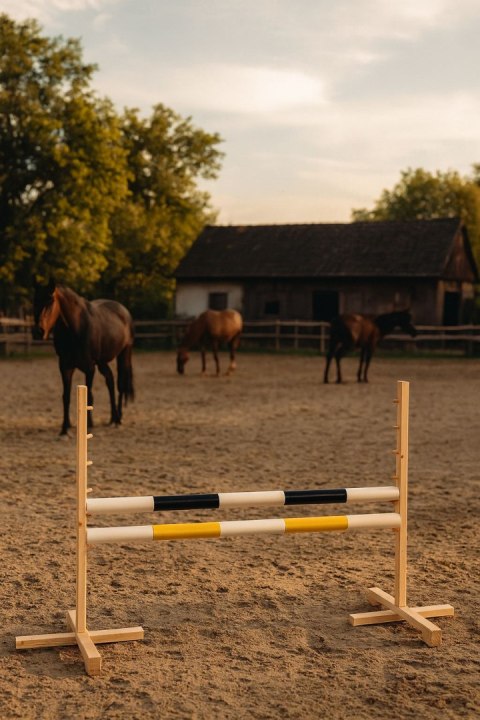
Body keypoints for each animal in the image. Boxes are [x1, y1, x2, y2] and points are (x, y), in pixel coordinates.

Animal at [33, 280, 135, 435]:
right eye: (35, 300)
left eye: (50, 300)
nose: (39, 331)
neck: (75, 328)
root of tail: (124, 311)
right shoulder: (65, 367)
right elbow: (66, 397)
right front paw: (65, 429)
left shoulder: (89, 367)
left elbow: (90, 395)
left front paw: (89, 425)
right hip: (102, 362)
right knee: (110, 381)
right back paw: (112, 418)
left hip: (124, 353)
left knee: (121, 384)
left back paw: (118, 419)